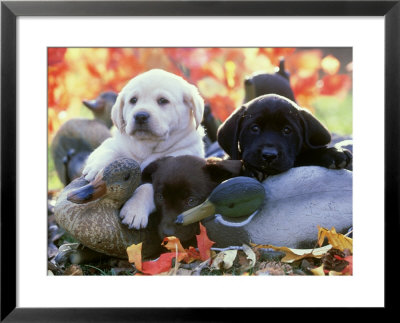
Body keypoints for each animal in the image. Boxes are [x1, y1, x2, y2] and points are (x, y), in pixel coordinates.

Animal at [82, 69, 205, 229]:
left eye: (163, 101)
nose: (140, 116)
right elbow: (107, 151)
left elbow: (147, 188)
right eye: (133, 100)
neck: (147, 147)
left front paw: (134, 211)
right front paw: (96, 169)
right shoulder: (116, 142)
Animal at [217, 93, 352, 181]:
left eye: (287, 130)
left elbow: (308, 154)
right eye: (254, 128)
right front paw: (250, 169)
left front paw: (333, 152)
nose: (269, 155)